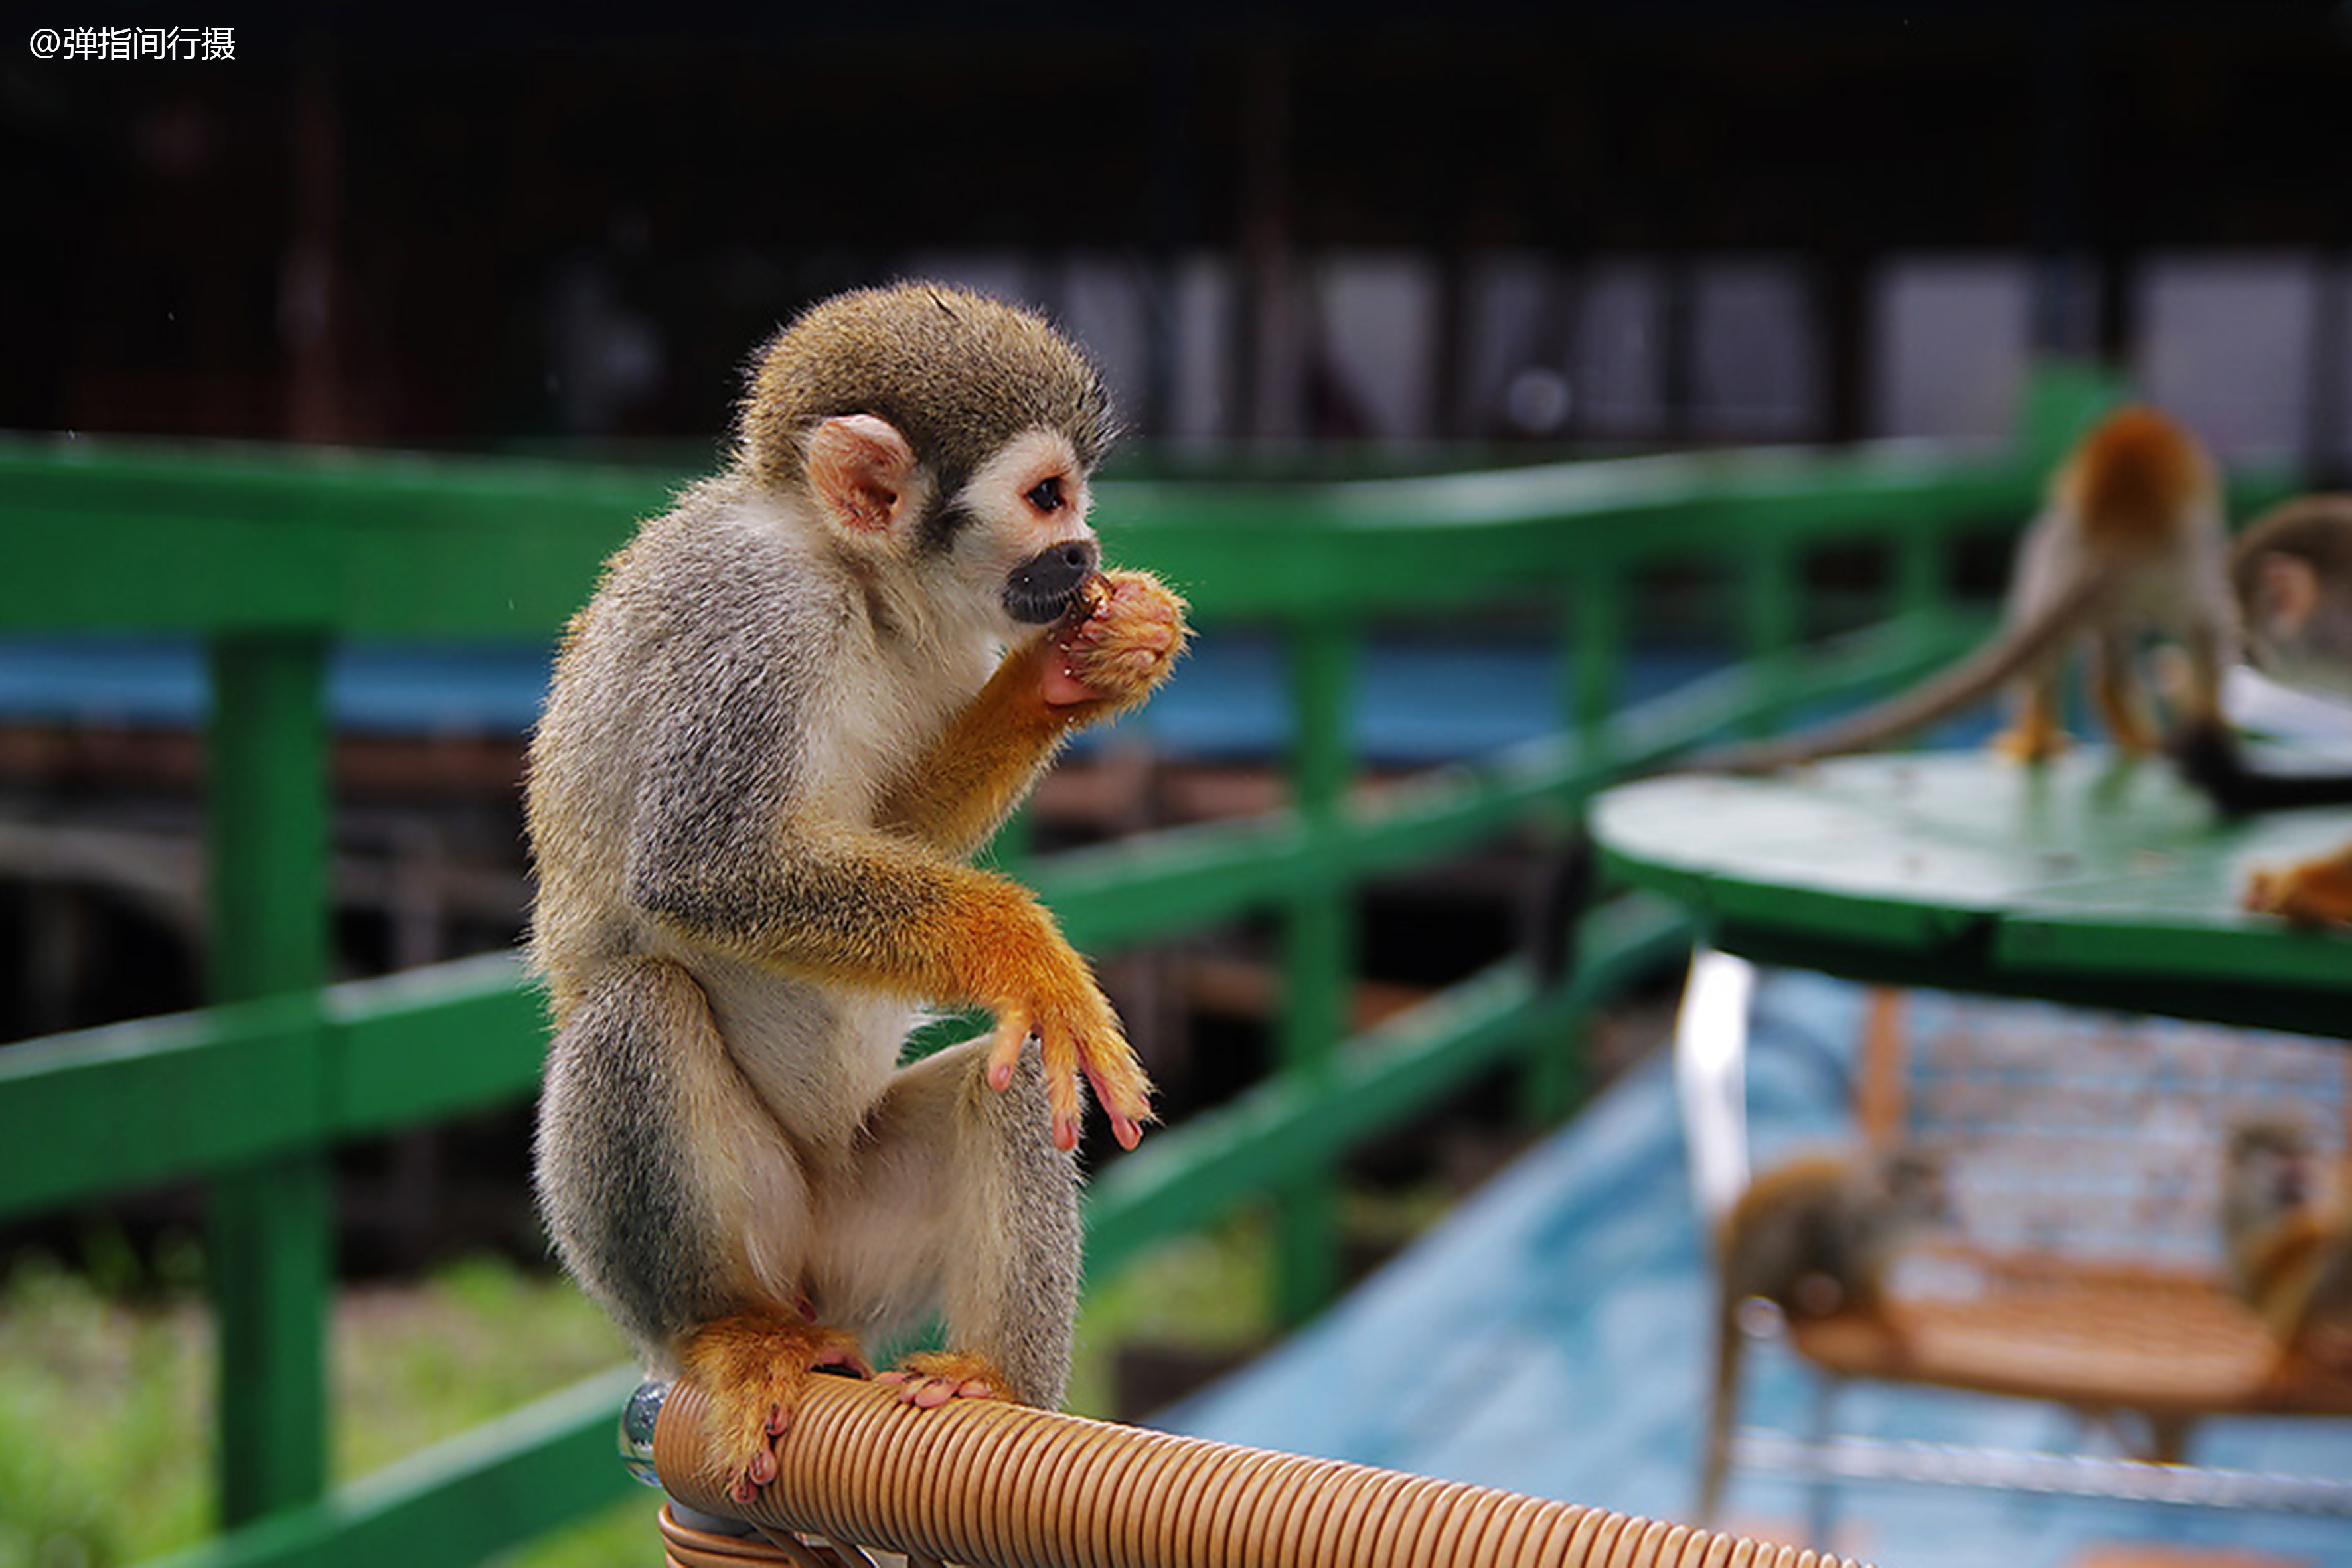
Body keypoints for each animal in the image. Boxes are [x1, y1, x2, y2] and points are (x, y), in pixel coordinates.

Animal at [536, 281, 1194, 1504]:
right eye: (1047, 495)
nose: (1081, 551)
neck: (854, 579)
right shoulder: (753, 621)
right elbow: (707, 866)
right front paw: (1024, 952)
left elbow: (894, 833)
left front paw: (1067, 674)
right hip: (711, 1249)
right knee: (638, 1004)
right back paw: (733, 1332)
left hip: (862, 1235)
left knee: (1013, 1079)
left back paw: (990, 1382)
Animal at [1693, 1147, 1947, 1523]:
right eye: (1927, 1188)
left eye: (1939, 1183)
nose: (1946, 1202)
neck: (1886, 1221)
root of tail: (1729, 1274)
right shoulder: (1851, 1229)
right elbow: (1845, 1271)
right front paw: (1888, 1321)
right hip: (1757, 1265)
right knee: (1797, 1230)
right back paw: (1801, 1307)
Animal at [2220, 1123, 2352, 1382]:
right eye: (2283, 1157)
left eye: (2301, 1157)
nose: (2299, 1171)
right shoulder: (2239, 1205)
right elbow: (2255, 1279)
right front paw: (2314, 1223)